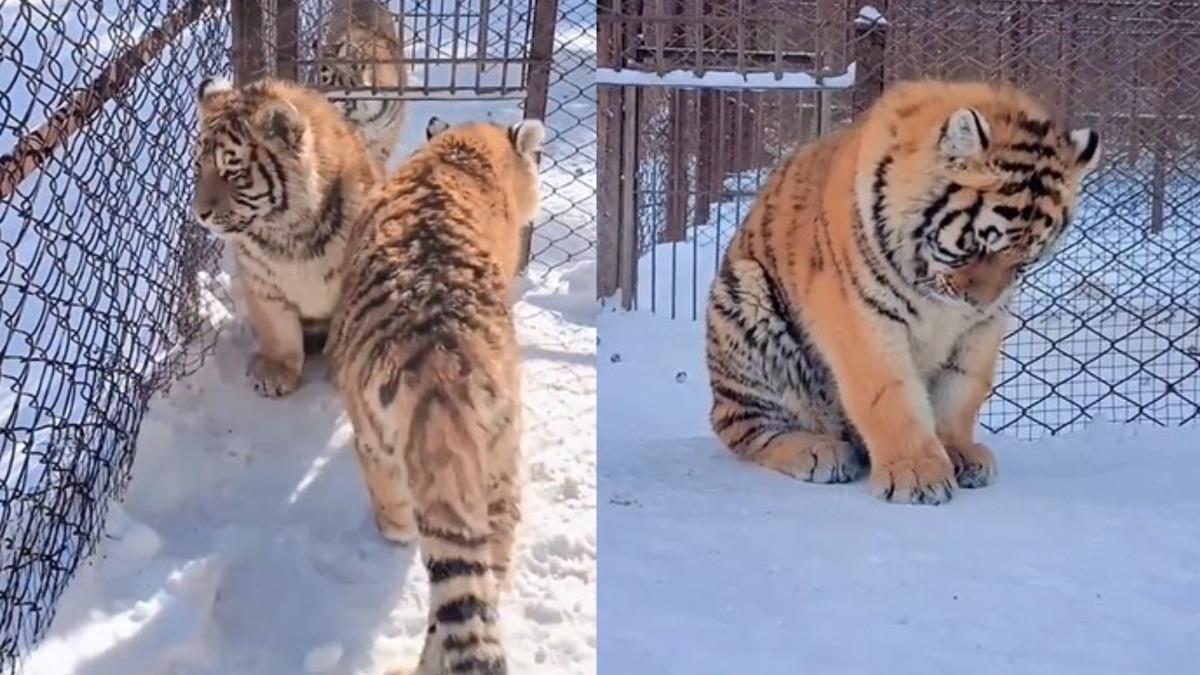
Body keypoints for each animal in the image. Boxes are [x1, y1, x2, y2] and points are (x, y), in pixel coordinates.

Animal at [191, 76, 381, 397]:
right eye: (198, 167)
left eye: (232, 173)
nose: (199, 213)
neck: (288, 231)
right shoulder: (263, 283)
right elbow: (279, 331)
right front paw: (275, 375)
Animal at [706, 80, 1101, 505]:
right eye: (978, 246)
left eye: (1024, 262)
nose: (978, 301)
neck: (936, 291)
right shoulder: (860, 314)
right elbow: (889, 394)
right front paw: (917, 473)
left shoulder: (981, 327)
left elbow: (961, 390)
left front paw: (958, 452)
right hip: (745, 297)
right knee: (744, 426)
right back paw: (819, 451)